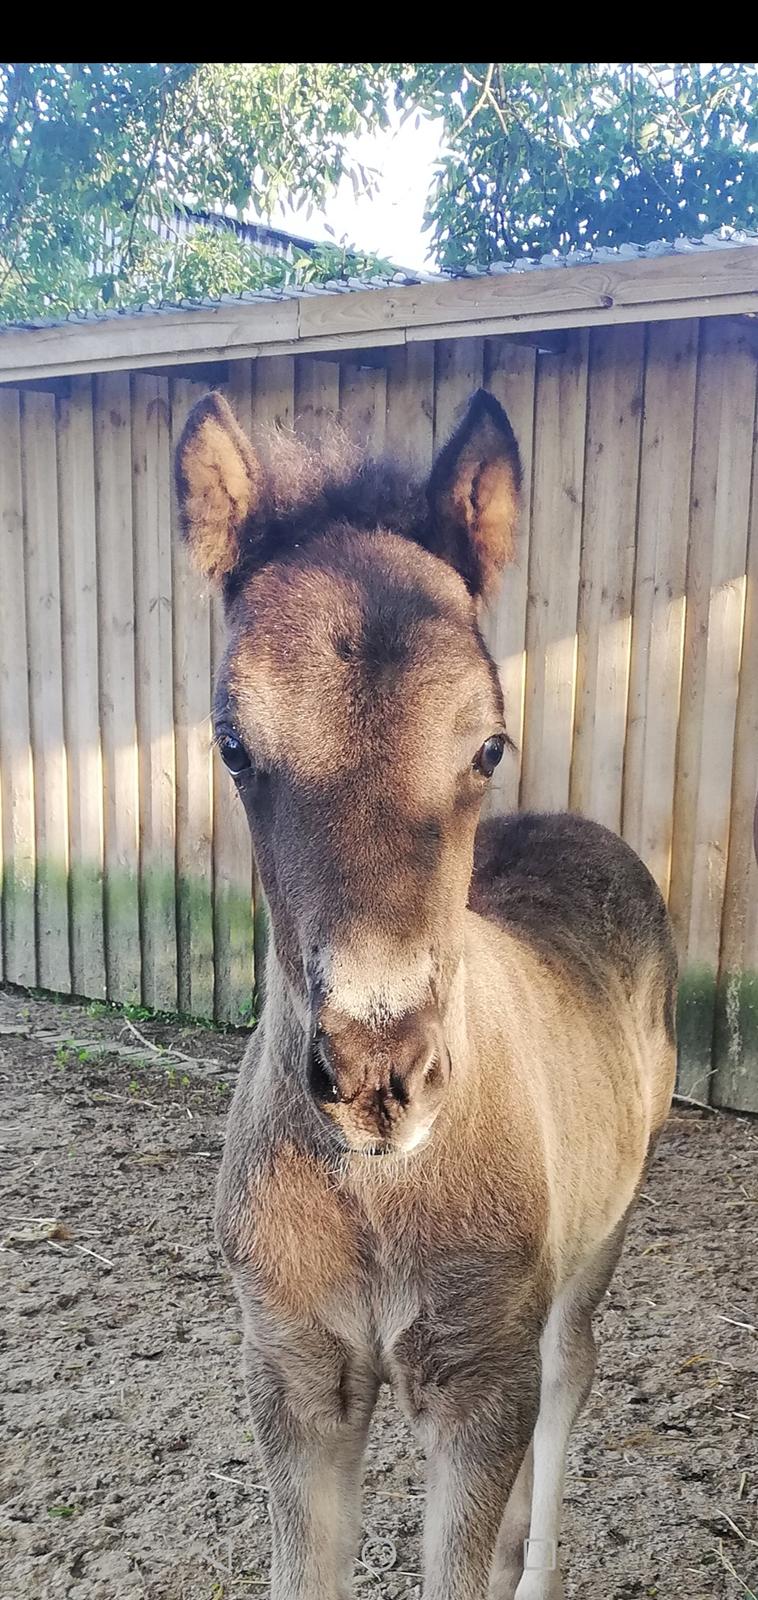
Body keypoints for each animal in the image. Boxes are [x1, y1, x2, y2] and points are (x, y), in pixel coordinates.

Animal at [175, 390, 674, 1600]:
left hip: (592, 1249)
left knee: (567, 1385)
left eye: (487, 744)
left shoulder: (477, 1383)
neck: (377, 1199)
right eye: (233, 746)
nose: (374, 1076)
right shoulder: (293, 1375)